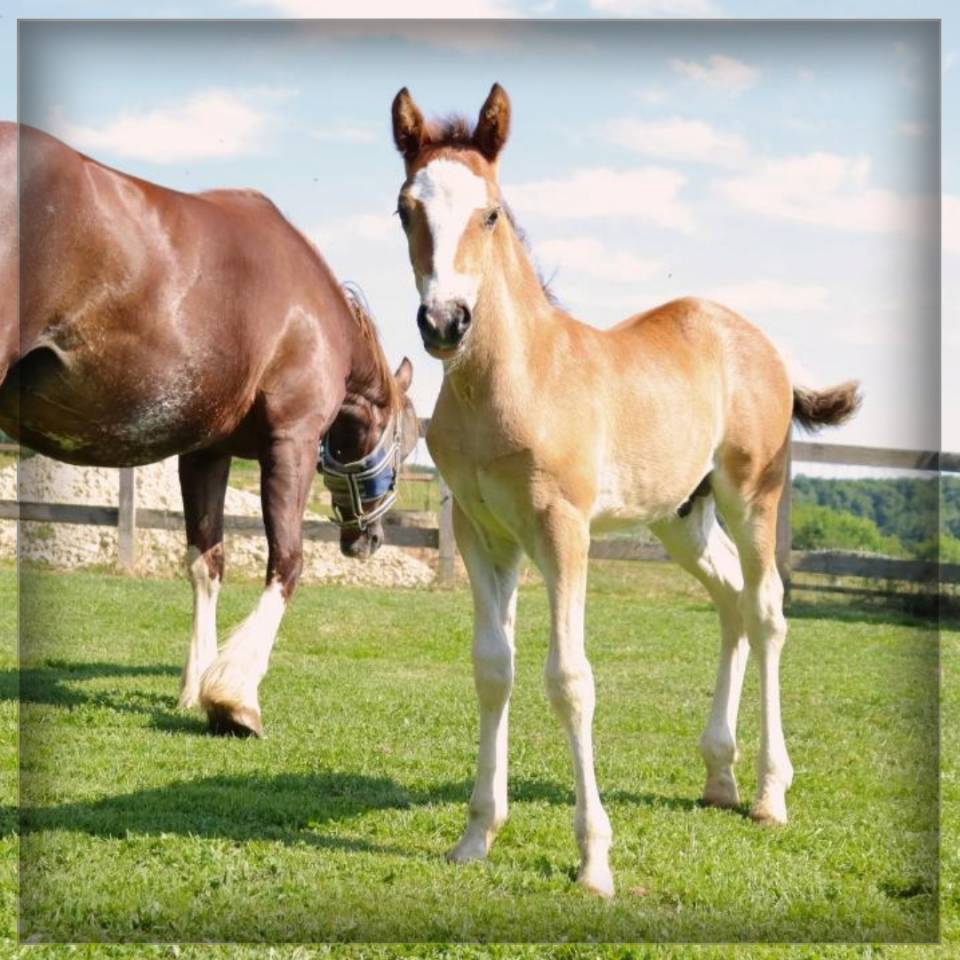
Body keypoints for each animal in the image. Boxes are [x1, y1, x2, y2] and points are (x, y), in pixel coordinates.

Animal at [0, 122, 418, 738]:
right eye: (407, 447)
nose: (370, 538)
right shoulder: (290, 442)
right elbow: (287, 562)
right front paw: (234, 696)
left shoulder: (204, 453)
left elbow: (206, 563)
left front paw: (196, 684)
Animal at [391, 84, 859, 897]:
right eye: (404, 209)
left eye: (491, 212)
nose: (445, 322)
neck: (512, 381)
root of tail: (762, 341)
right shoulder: (485, 535)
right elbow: (492, 670)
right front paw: (476, 835)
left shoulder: (561, 529)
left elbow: (570, 679)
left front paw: (594, 859)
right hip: (680, 517)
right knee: (731, 601)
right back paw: (718, 776)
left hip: (752, 497)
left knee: (768, 611)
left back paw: (769, 793)